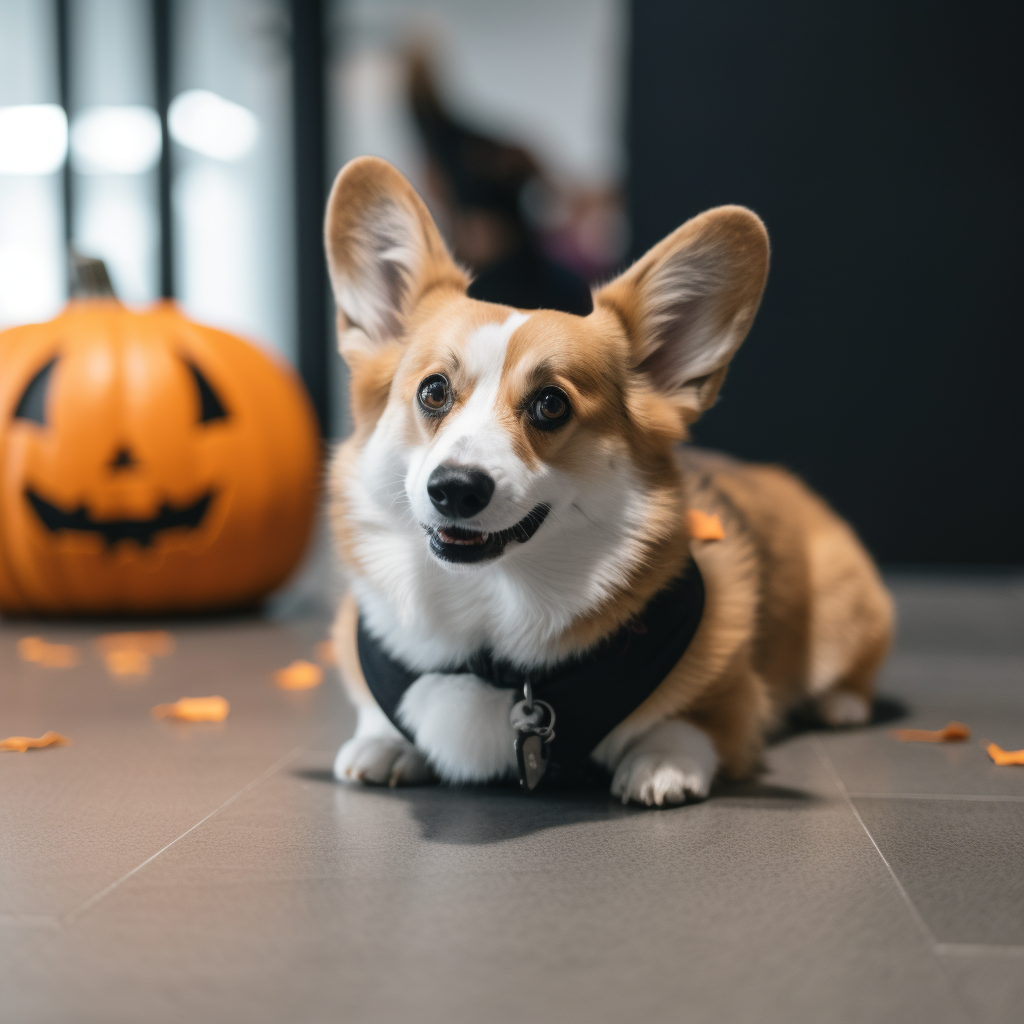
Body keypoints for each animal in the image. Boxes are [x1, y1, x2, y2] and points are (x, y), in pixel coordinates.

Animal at [323, 155, 892, 802]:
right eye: (434, 391)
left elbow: (688, 724)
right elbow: (375, 710)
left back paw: (841, 705)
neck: (489, 628)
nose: (455, 489)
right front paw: (383, 743)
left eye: (551, 405)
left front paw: (660, 764)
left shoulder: (733, 703)